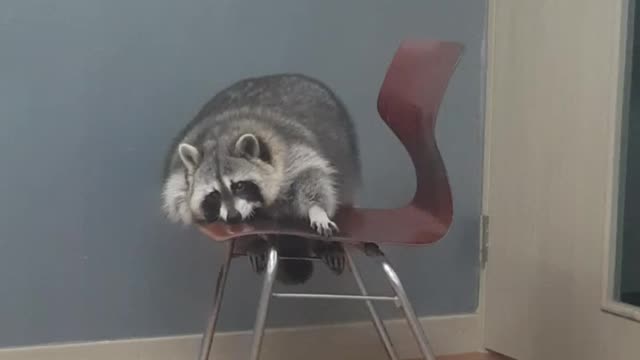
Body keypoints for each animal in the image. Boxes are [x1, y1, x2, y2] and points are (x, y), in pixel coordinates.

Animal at [161, 74, 360, 284]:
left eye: (239, 186)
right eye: (214, 195)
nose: (233, 218)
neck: (220, 138)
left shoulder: (291, 151)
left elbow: (311, 173)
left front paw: (317, 210)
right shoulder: (178, 182)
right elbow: (180, 201)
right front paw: (252, 240)